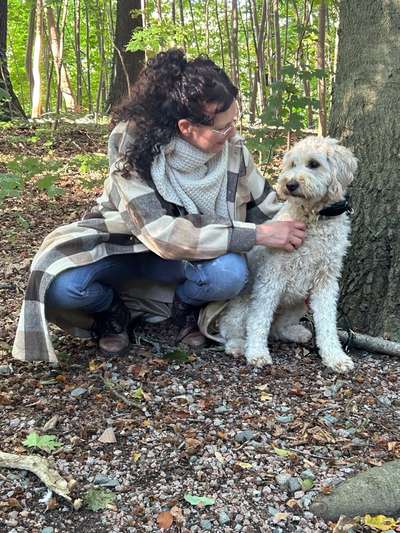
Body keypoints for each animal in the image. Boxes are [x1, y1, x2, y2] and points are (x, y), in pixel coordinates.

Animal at [220, 135, 358, 372]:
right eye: (293, 164)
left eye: (314, 164)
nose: (290, 184)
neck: (315, 217)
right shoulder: (271, 278)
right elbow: (259, 319)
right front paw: (257, 353)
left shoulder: (326, 281)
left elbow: (328, 323)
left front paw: (335, 356)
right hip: (243, 304)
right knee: (231, 328)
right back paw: (238, 345)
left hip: (299, 302)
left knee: (277, 328)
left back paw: (295, 332)